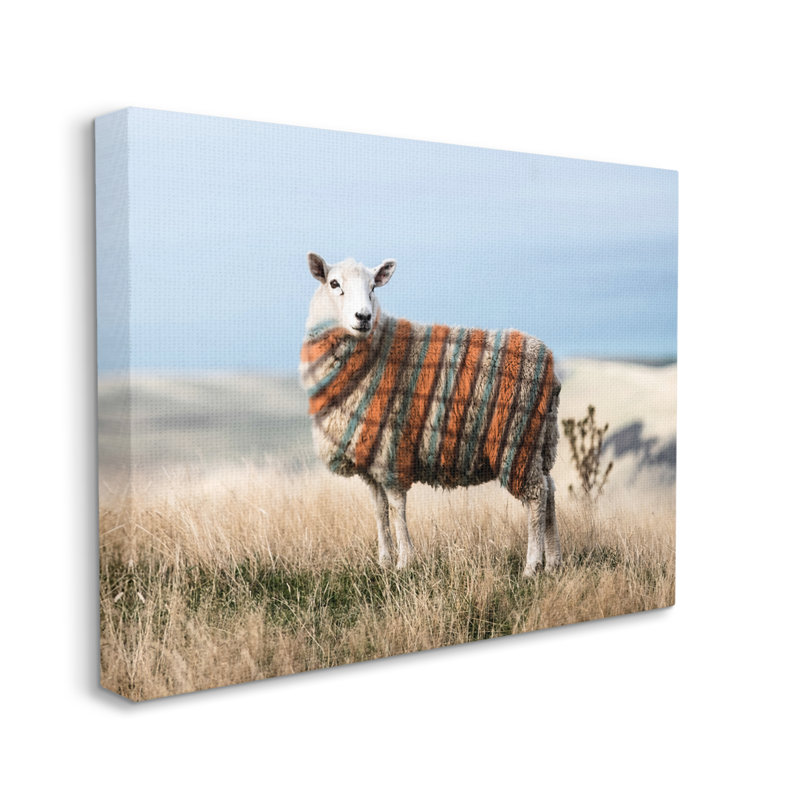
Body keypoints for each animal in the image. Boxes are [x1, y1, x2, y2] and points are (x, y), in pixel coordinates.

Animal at [299, 253, 562, 576]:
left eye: (373, 287)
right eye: (334, 284)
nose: (364, 317)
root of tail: (548, 361)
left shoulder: (391, 451)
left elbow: (397, 508)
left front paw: (404, 561)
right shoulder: (369, 457)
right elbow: (379, 510)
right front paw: (384, 561)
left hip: (516, 440)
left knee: (536, 496)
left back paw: (531, 566)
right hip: (540, 440)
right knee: (549, 491)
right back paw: (553, 562)